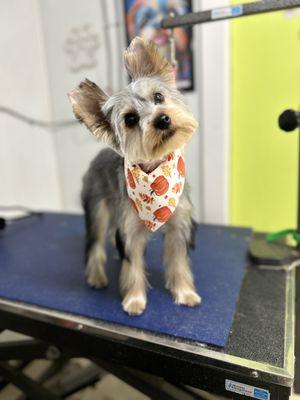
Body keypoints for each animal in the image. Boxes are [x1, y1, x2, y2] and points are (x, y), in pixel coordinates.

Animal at [69, 37, 202, 314]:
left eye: (158, 96)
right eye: (130, 119)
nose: (163, 119)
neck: (154, 170)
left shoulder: (179, 225)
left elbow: (179, 262)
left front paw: (184, 292)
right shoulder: (130, 228)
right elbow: (133, 266)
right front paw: (134, 300)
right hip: (97, 207)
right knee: (95, 243)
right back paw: (96, 277)